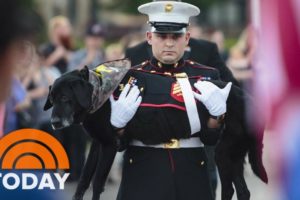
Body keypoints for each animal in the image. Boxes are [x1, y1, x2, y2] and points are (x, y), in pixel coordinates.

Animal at [44, 66, 268, 200]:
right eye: (53, 98)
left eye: (65, 98)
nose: (54, 123)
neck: (100, 91)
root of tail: (247, 97)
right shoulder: (98, 144)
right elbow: (83, 181)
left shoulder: (109, 145)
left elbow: (97, 183)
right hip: (232, 155)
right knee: (241, 191)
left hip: (223, 152)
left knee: (230, 189)